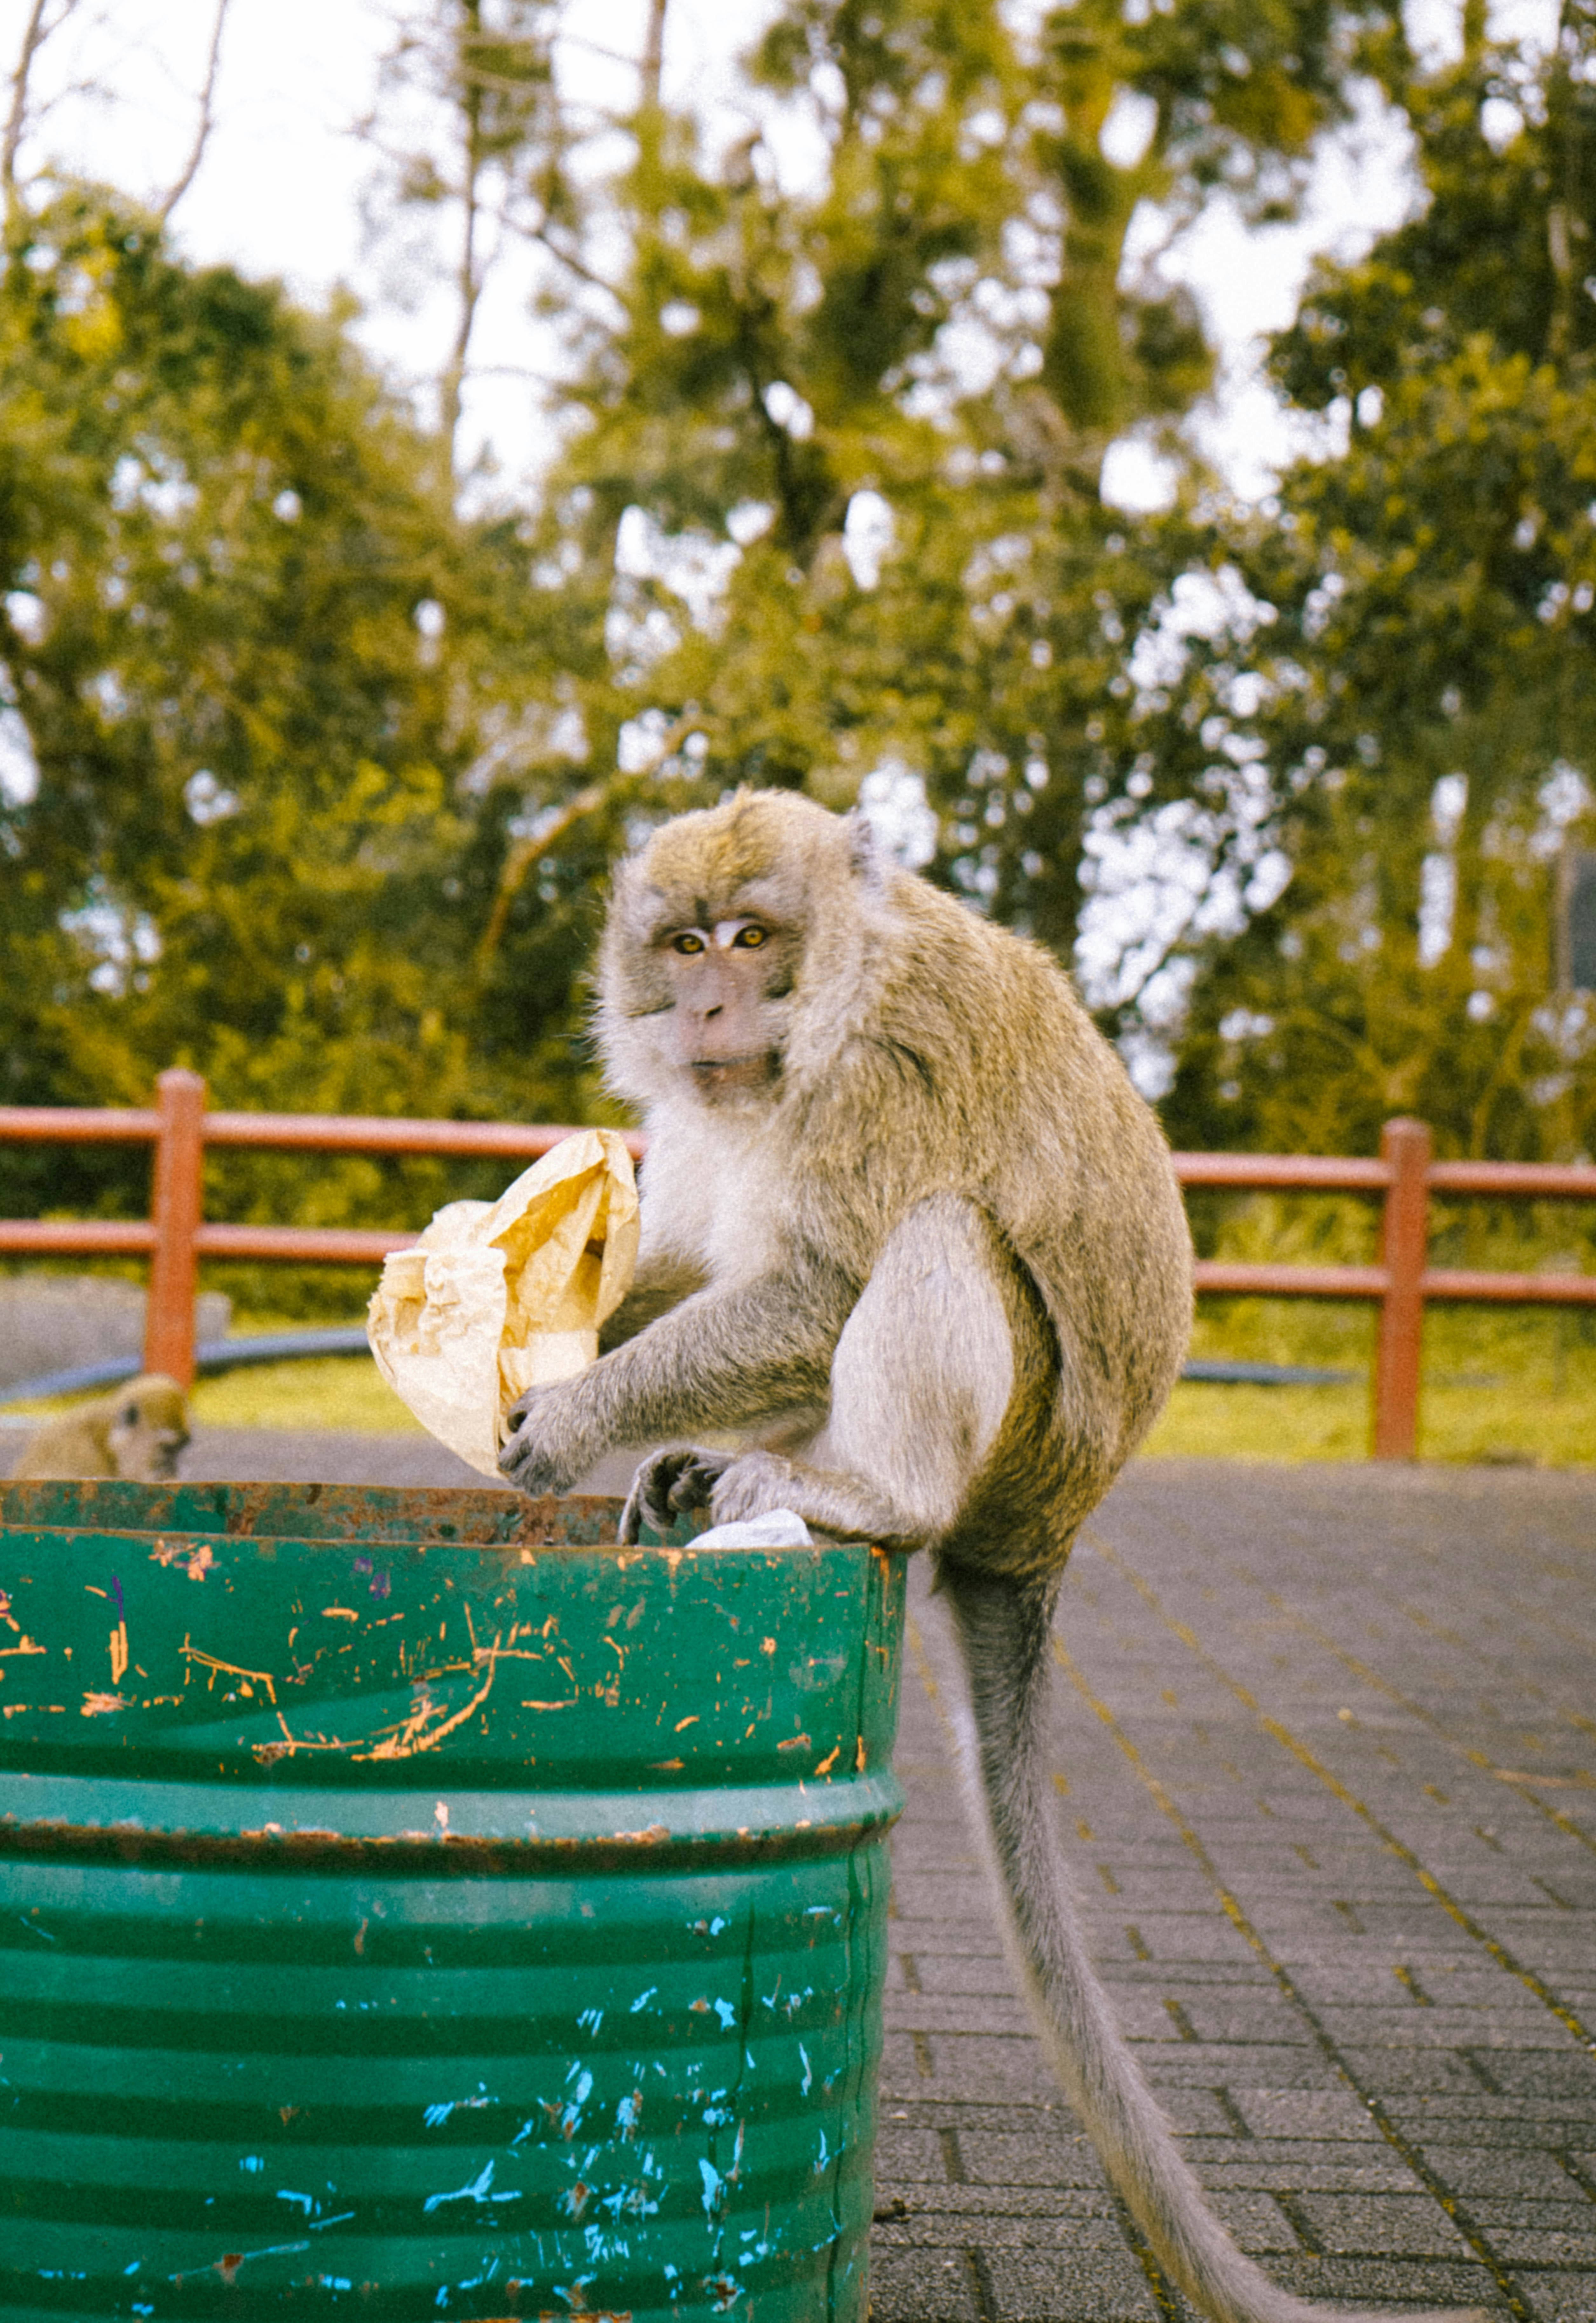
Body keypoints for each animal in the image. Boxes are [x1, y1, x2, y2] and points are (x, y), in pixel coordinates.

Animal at [499, 790, 1481, 2323]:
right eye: (684, 940)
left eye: (752, 937)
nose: (706, 1001)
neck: (827, 999)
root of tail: (1052, 1529)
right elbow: (699, 1257)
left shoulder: (878, 1075)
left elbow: (817, 1283)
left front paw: (577, 1409)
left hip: (1013, 1445)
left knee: (938, 1233)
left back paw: (866, 1496)